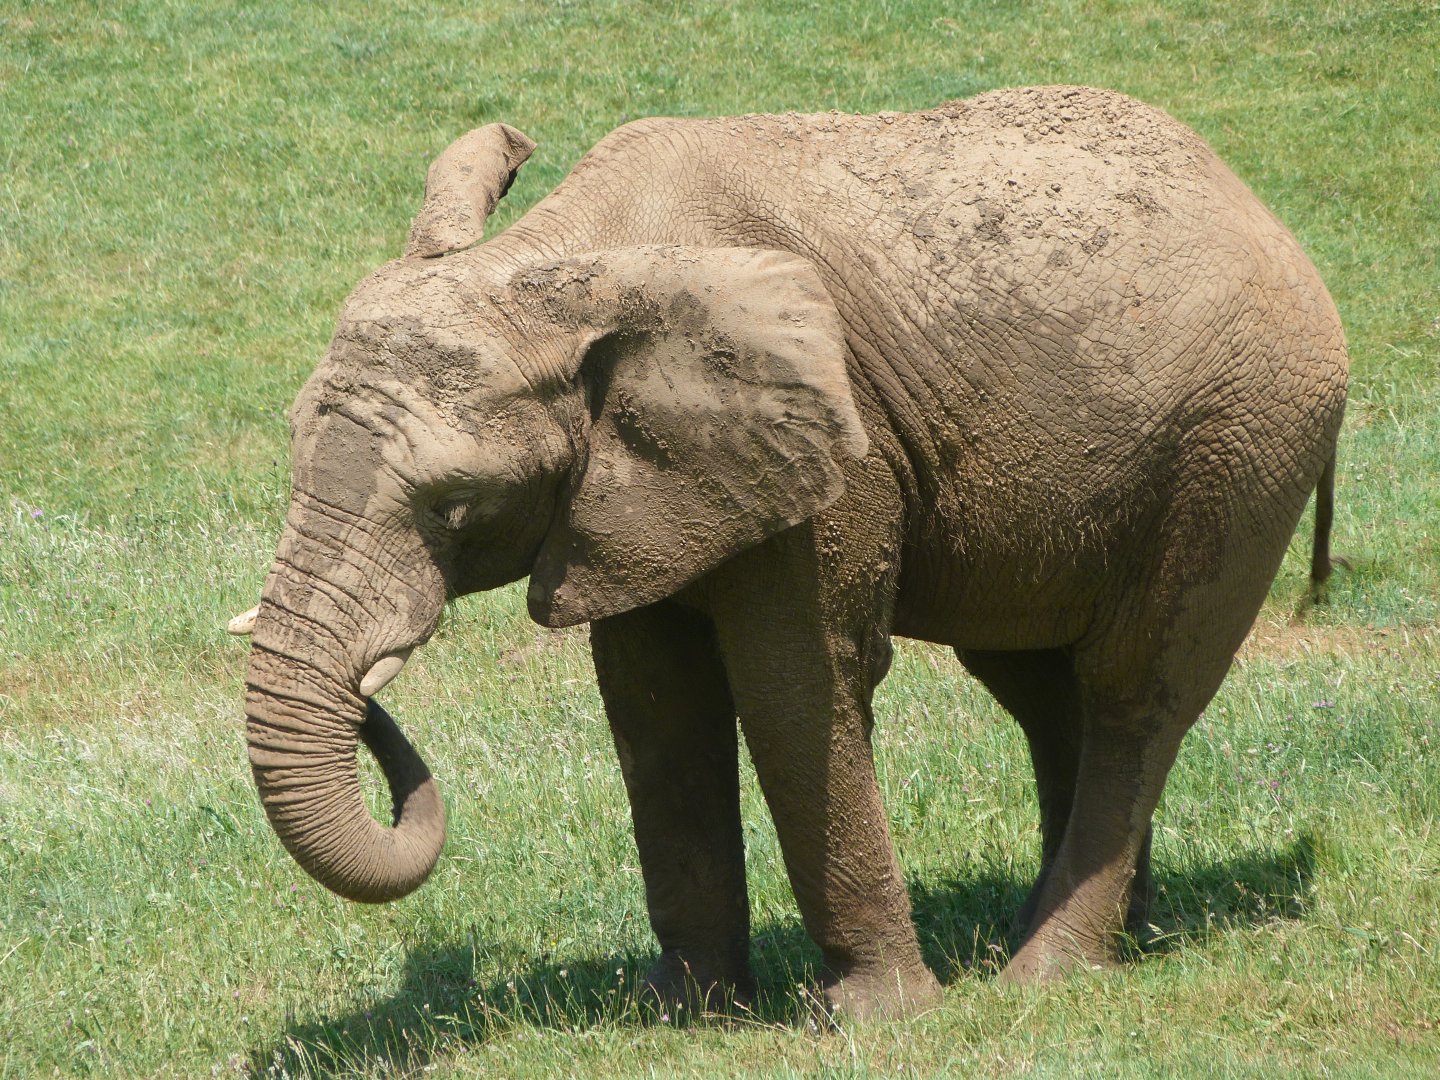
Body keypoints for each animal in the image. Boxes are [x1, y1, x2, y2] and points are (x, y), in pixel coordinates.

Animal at [231, 85, 1347, 1020]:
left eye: (455, 505)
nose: (369, 689)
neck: (570, 259)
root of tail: (1261, 209)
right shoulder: (635, 481)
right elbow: (655, 703)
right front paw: (681, 1012)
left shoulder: (832, 456)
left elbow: (793, 686)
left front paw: (877, 1020)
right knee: (1039, 686)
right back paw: (1102, 935)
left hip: (1236, 446)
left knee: (1134, 691)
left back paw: (1046, 972)